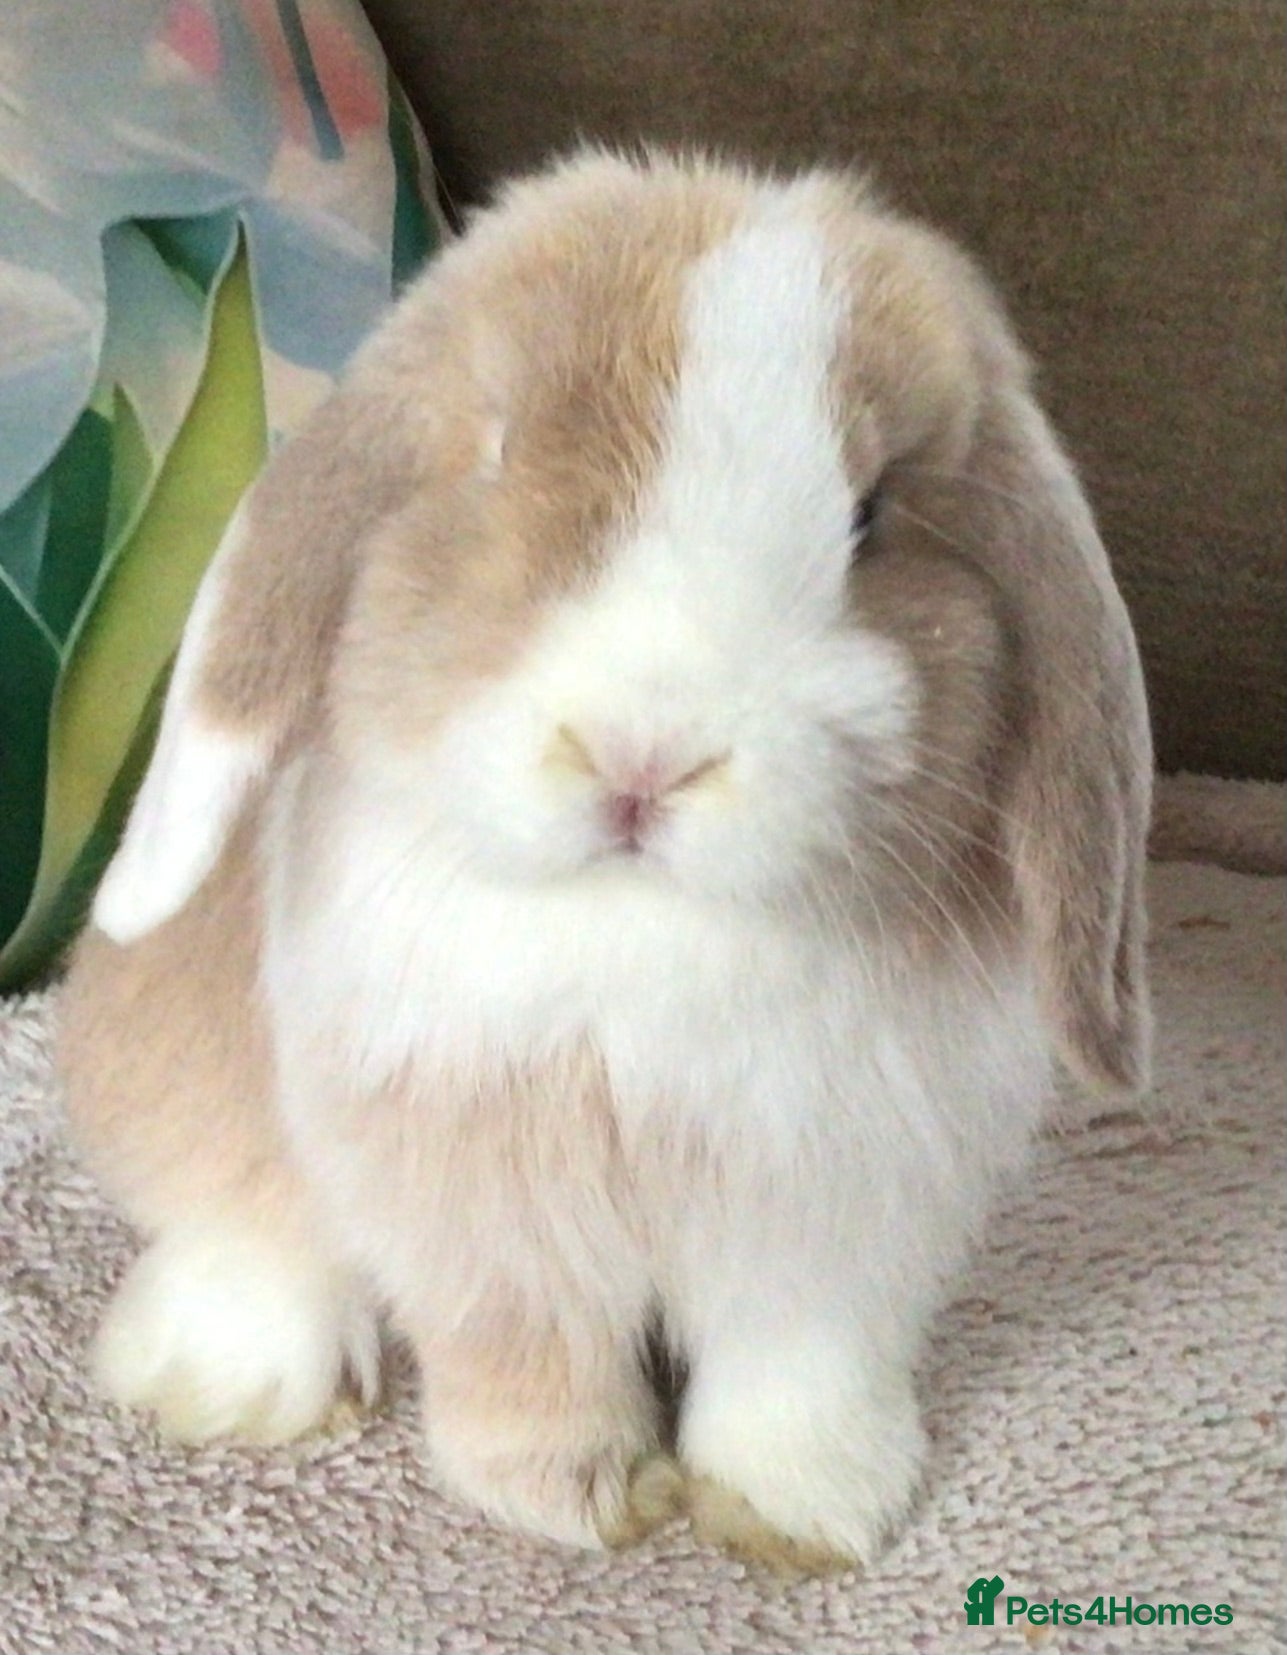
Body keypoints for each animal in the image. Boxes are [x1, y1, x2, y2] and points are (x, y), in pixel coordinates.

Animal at [58, 148, 1152, 1573]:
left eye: (871, 516)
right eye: (498, 456)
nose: (646, 752)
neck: (646, 933)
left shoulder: (837, 1214)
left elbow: (799, 1366)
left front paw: (805, 1513)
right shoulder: (486, 1208)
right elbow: (529, 1355)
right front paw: (577, 1501)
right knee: (239, 1218)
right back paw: (227, 1383)